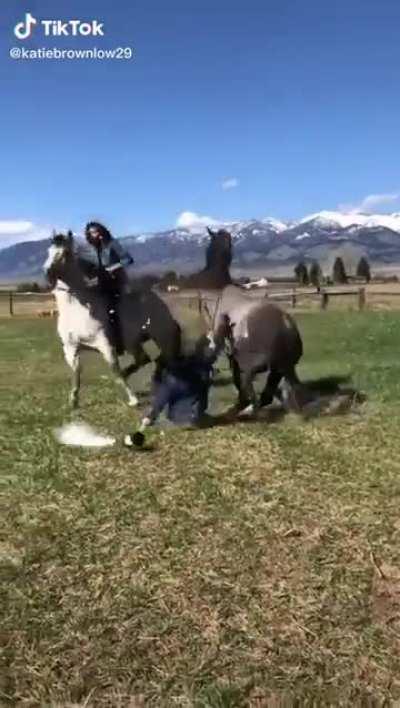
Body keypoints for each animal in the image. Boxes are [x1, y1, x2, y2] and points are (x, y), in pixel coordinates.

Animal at [43, 231, 181, 408]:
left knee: (158, 359)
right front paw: (73, 400)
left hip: (154, 338)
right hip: (136, 342)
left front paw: (133, 399)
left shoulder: (105, 346)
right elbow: (76, 373)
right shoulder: (70, 348)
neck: (77, 309)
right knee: (147, 359)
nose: (47, 274)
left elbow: (115, 371)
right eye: (49, 251)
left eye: (65, 253)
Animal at [206, 285, 303, 413]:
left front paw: (240, 402)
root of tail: (284, 327)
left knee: (248, 383)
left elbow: (236, 377)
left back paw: (249, 408)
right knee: (275, 385)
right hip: (284, 363)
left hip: (254, 363)